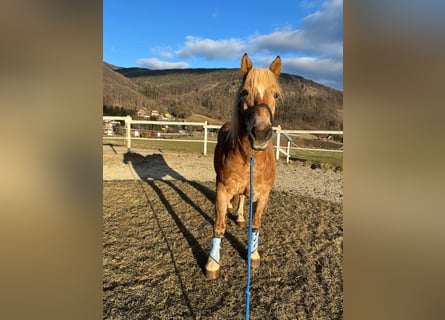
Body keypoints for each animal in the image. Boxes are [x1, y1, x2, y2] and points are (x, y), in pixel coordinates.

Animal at [205, 53, 280, 278]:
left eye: (276, 95)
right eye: (245, 92)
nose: (261, 133)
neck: (251, 157)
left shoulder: (263, 195)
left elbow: (255, 224)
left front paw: (253, 255)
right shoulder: (222, 190)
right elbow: (219, 226)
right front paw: (212, 263)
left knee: (243, 199)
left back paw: (239, 216)